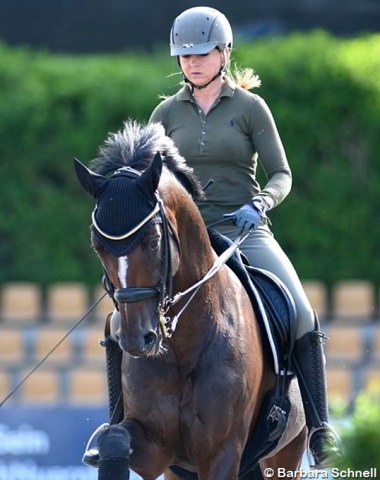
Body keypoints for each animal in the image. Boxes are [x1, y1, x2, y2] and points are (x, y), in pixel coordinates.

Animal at [73, 121, 306, 480]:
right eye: (98, 246)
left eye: (154, 240)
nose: (137, 339)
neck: (183, 342)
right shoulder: (158, 450)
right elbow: (115, 439)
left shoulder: (221, 452)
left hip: (286, 452)